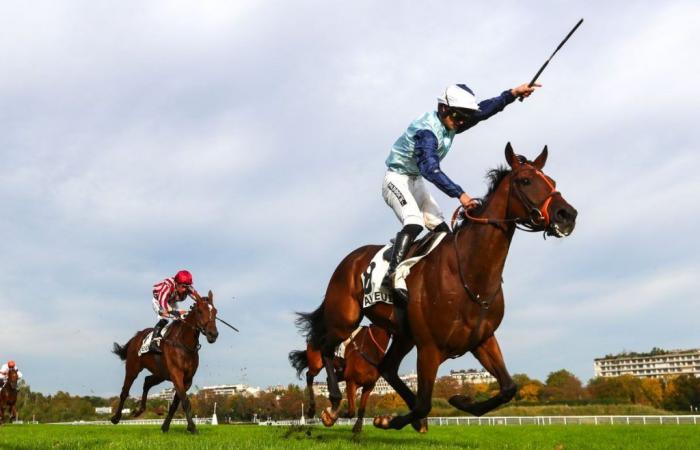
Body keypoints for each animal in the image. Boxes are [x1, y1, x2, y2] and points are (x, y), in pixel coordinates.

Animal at [110, 290, 219, 434]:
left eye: (215, 312)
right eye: (200, 311)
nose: (213, 334)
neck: (184, 344)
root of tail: (136, 336)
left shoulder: (187, 379)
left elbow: (175, 403)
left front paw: (165, 426)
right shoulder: (176, 374)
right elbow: (185, 401)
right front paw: (192, 428)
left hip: (160, 374)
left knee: (147, 382)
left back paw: (139, 410)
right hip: (133, 368)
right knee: (124, 391)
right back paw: (116, 418)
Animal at [294, 144, 576, 432]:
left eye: (552, 182)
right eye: (525, 180)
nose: (567, 215)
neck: (469, 274)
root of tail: (349, 259)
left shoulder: (482, 339)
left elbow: (508, 388)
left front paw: (460, 400)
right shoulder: (429, 347)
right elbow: (424, 403)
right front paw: (388, 419)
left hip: (403, 335)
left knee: (387, 367)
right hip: (345, 319)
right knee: (325, 348)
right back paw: (331, 406)